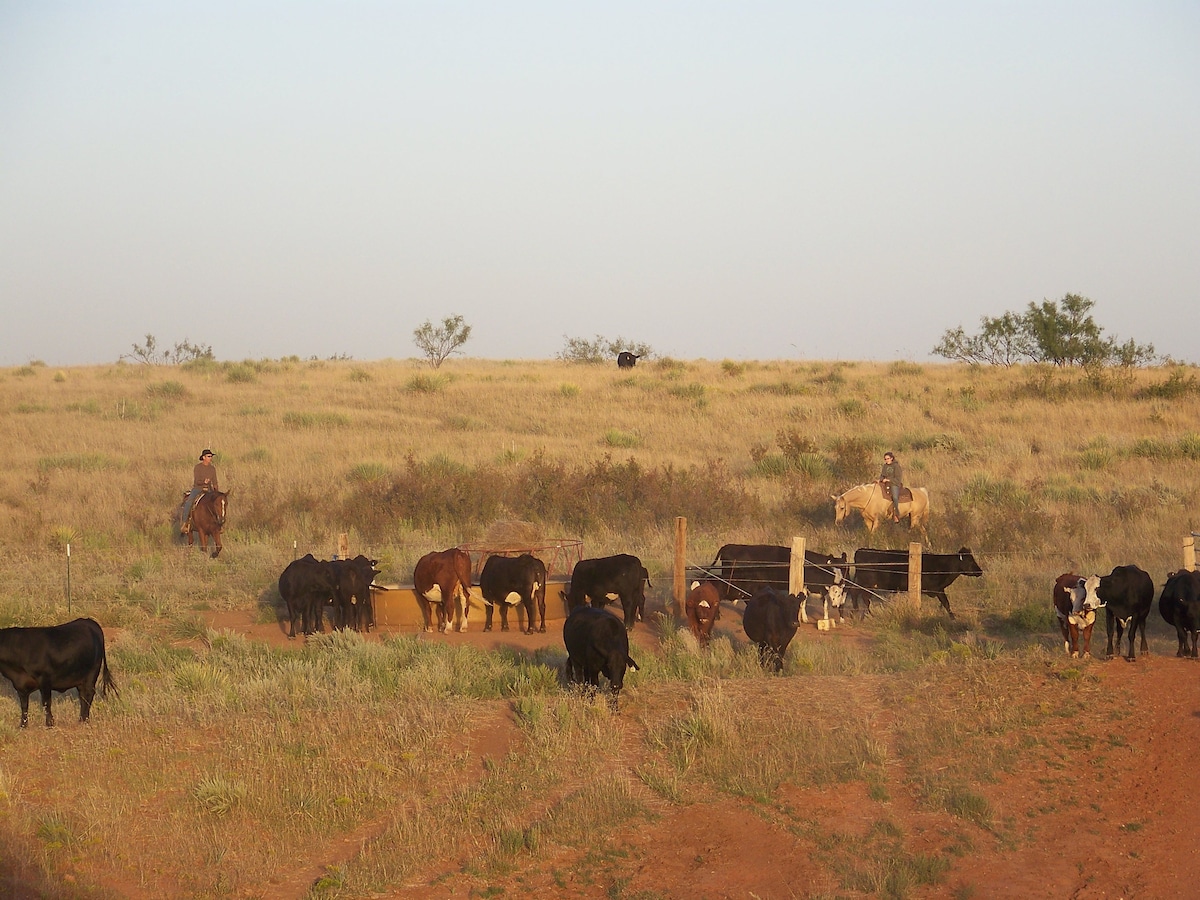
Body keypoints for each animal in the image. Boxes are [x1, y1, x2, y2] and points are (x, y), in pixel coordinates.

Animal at [844, 547, 984, 619]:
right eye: (970, 561)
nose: (980, 571)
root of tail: (861, 550)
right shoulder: (938, 589)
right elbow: (946, 603)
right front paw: (952, 617)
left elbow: (943, 604)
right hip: (867, 583)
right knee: (864, 597)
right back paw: (867, 613)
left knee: (855, 593)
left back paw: (857, 612)